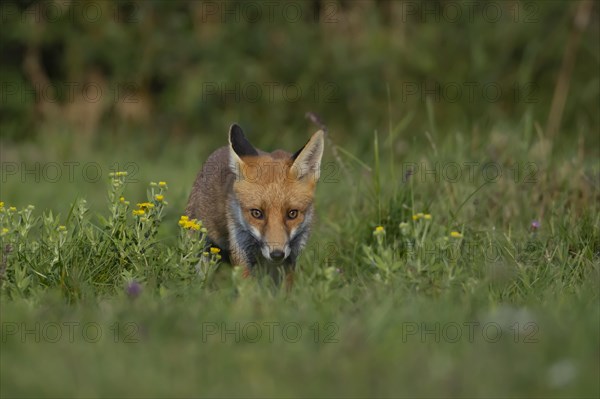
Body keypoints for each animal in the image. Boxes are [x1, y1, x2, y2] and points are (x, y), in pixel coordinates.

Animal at [186, 123, 324, 282]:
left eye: (292, 214)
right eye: (256, 213)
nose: (277, 254)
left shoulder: (292, 254)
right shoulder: (240, 246)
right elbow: (247, 286)